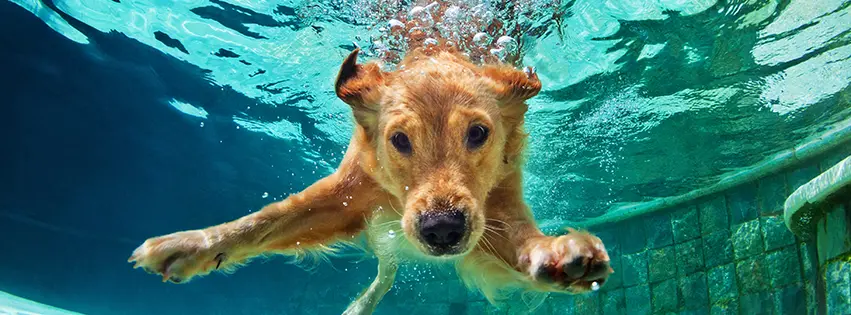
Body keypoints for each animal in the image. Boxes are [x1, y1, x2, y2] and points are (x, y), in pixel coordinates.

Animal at [128, 9, 612, 314]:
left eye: (478, 133)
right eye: (398, 139)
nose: (442, 230)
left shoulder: (497, 204)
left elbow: (522, 240)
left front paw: (558, 255)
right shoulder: (346, 194)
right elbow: (263, 221)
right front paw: (190, 246)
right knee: (386, 270)